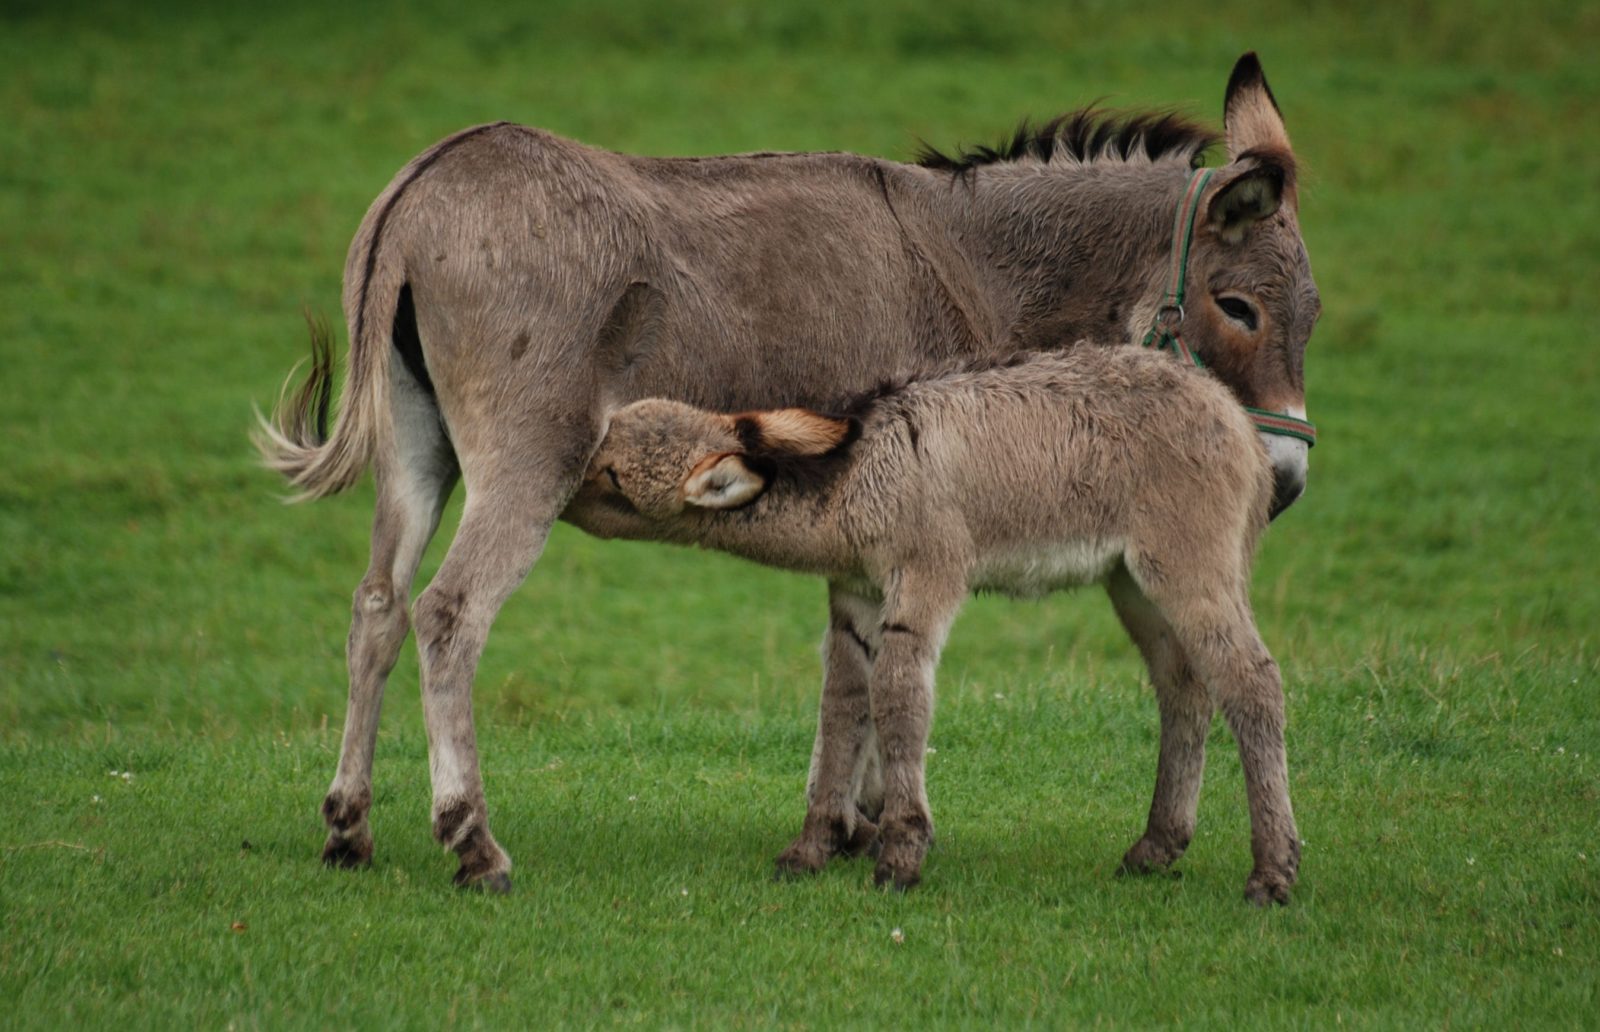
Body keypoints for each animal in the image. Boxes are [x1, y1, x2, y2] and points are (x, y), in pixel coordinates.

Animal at [582, 345, 1305, 902]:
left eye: (612, 475)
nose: (566, 482)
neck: (860, 474)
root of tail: (1233, 414)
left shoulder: (925, 580)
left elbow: (900, 698)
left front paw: (901, 855)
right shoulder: (856, 598)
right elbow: (843, 705)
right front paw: (812, 847)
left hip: (1189, 565)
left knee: (1251, 684)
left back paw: (1272, 872)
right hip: (1133, 583)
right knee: (1185, 687)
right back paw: (1157, 845)